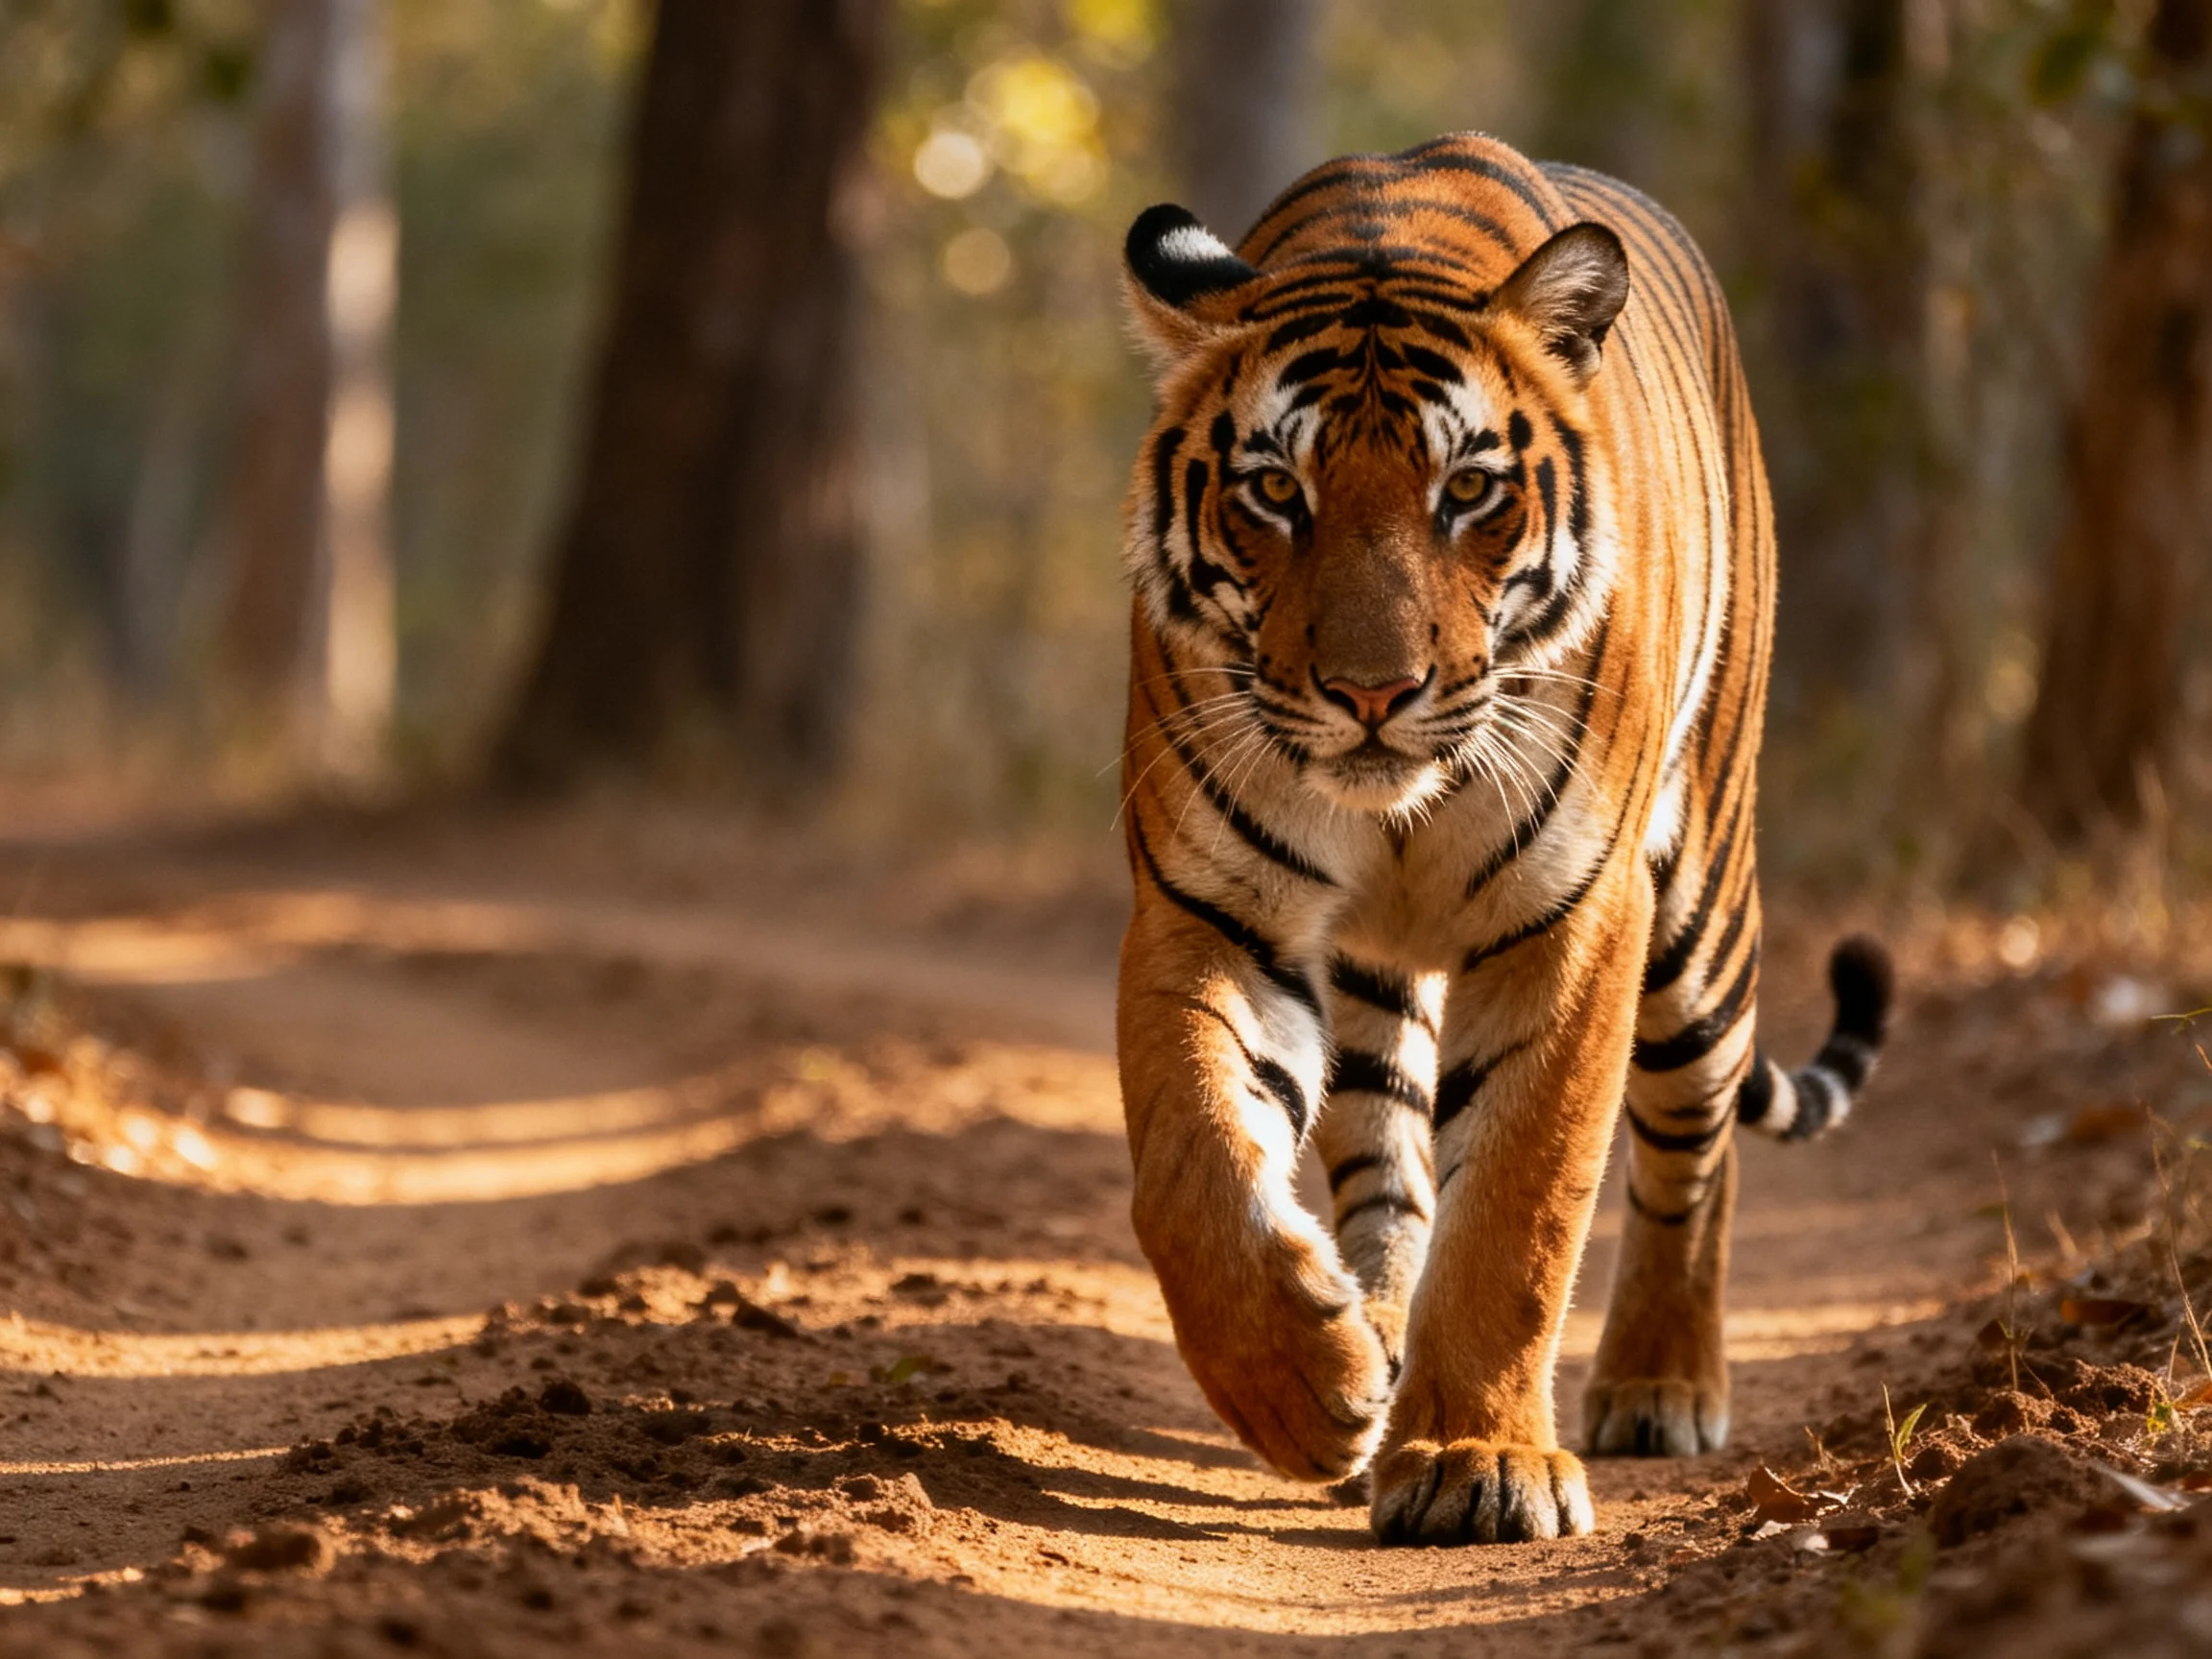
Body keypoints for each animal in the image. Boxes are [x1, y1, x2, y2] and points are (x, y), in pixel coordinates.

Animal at [1113, 132, 1892, 1546]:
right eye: (1276, 491)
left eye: (1467, 490)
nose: (1372, 692)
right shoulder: (1213, 907)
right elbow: (1189, 1161)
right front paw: (1305, 1386)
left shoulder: (1572, 918)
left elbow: (1523, 1209)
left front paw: (1479, 1463)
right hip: (1376, 979)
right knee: (1390, 1167)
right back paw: (1371, 1338)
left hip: (1700, 919)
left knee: (1696, 1152)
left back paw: (1660, 1385)